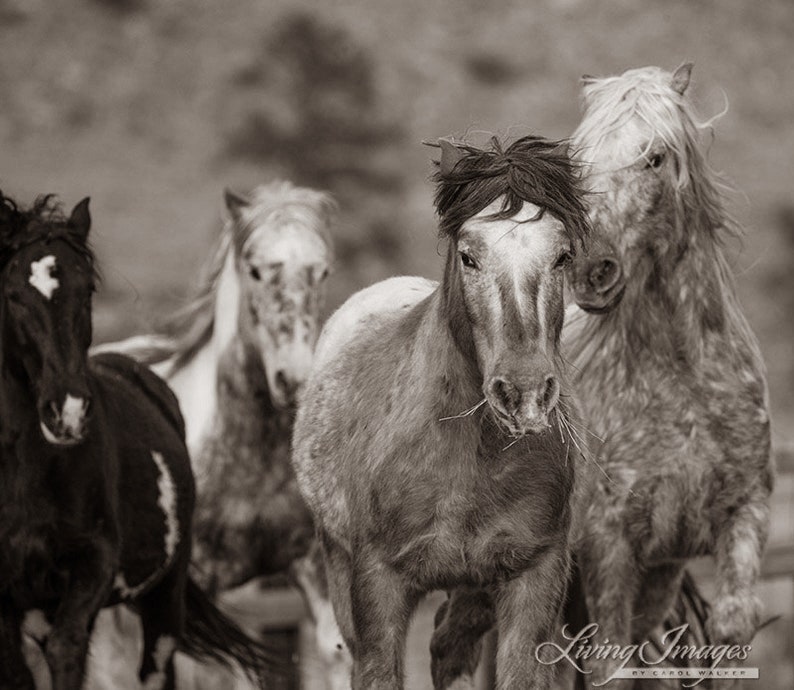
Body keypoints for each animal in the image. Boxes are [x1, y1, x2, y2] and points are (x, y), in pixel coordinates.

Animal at [0, 193, 279, 690]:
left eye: (87, 289)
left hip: (164, 598)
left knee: (155, 669)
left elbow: (68, 652)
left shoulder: (93, 564)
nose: (68, 410)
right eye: (13, 296)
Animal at [292, 135, 592, 689]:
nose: (523, 393)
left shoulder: (532, 579)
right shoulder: (378, 588)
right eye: (468, 256)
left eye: (562, 256)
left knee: (448, 649)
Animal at [560, 63, 774, 685]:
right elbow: (610, 665)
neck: (683, 380)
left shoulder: (742, 512)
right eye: (576, 156)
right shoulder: (607, 541)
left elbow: (732, 627)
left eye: (655, 157)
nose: (591, 269)